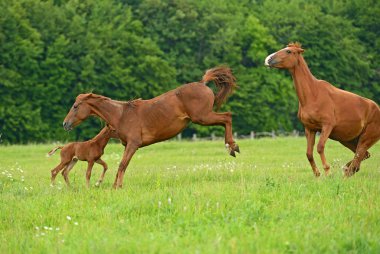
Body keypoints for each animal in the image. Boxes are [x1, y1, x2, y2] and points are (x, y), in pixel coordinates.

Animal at [264, 42, 380, 177]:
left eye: (288, 51)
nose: (268, 59)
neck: (313, 95)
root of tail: (378, 109)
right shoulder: (310, 128)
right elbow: (309, 153)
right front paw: (317, 174)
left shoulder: (327, 125)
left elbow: (320, 147)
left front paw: (328, 171)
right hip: (348, 139)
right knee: (362, 157)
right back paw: (345, 169)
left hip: (366, 139)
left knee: (358, 158)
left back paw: (345, 171)